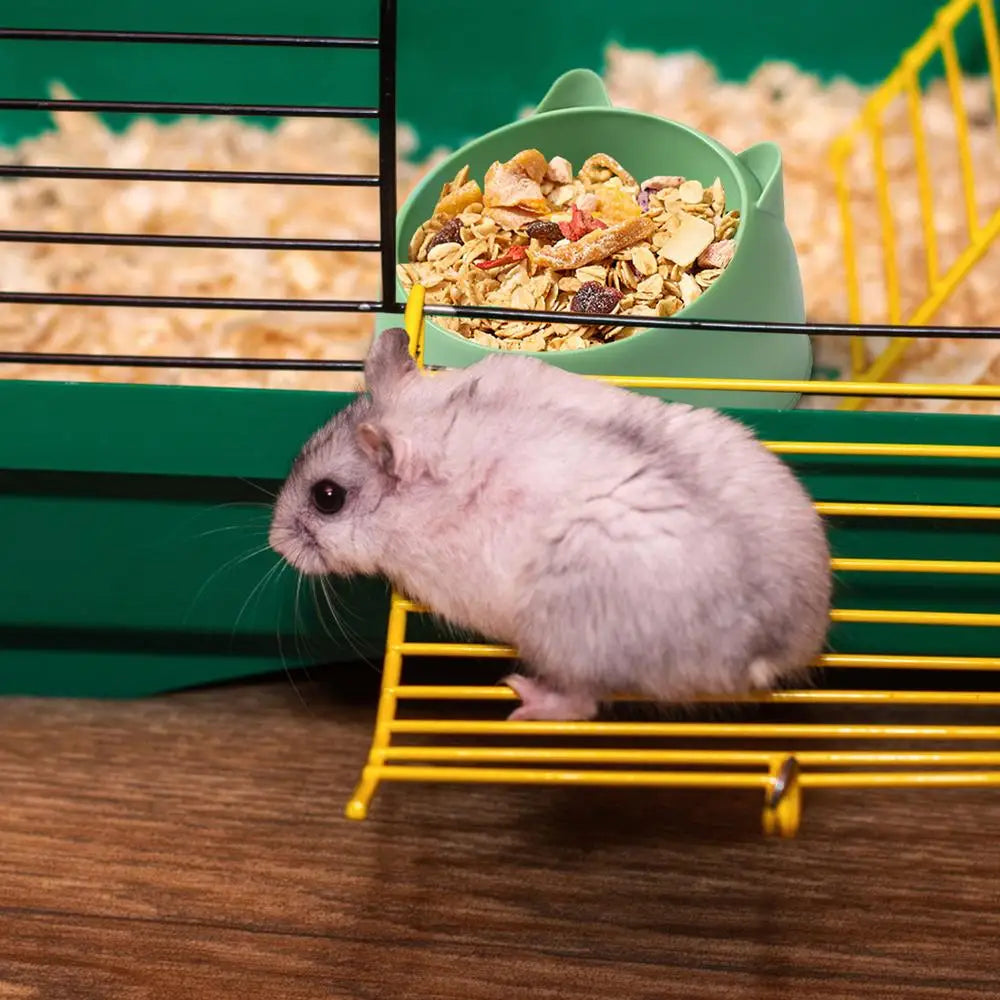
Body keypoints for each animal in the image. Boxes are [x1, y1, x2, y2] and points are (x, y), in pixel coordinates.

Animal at [268, 327, 832, 721]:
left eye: (327, 498)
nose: (274, 543)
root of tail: (779, 643)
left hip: (567, 638)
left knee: (582, 704)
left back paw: (520, 696)